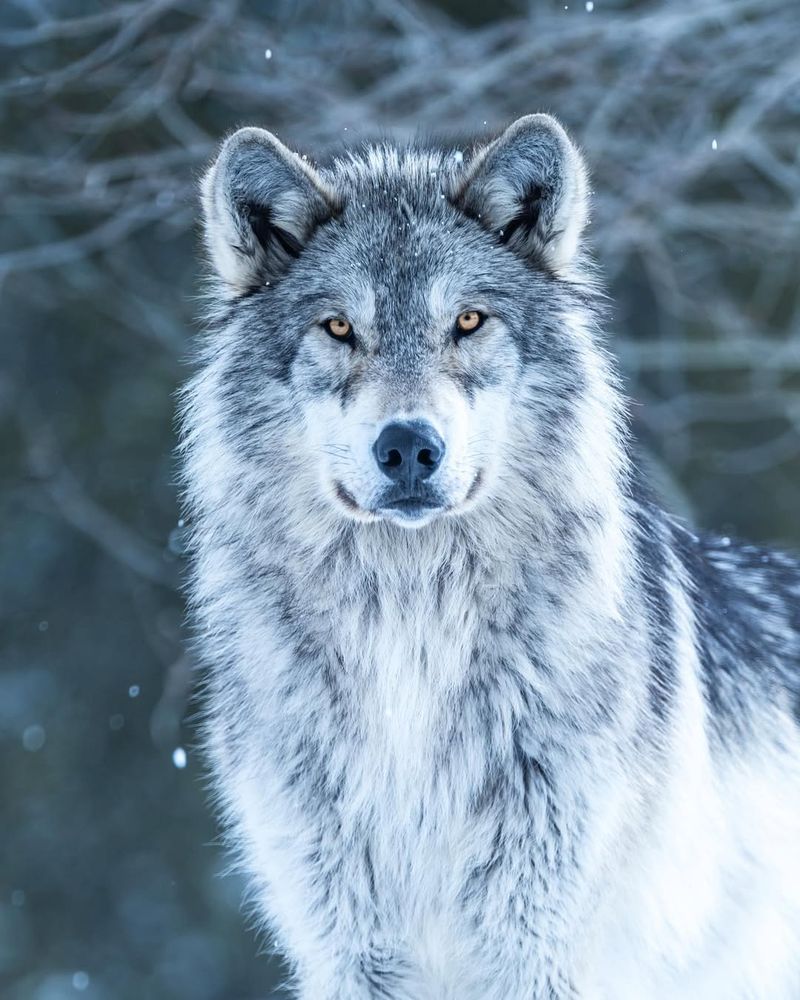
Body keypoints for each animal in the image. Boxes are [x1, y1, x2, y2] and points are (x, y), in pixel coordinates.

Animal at [181, 114, 800, 999]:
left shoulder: (533, 941)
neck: (409, 639)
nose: (408, 446)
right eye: (339, 328)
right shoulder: (351, 949)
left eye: (468, 322)